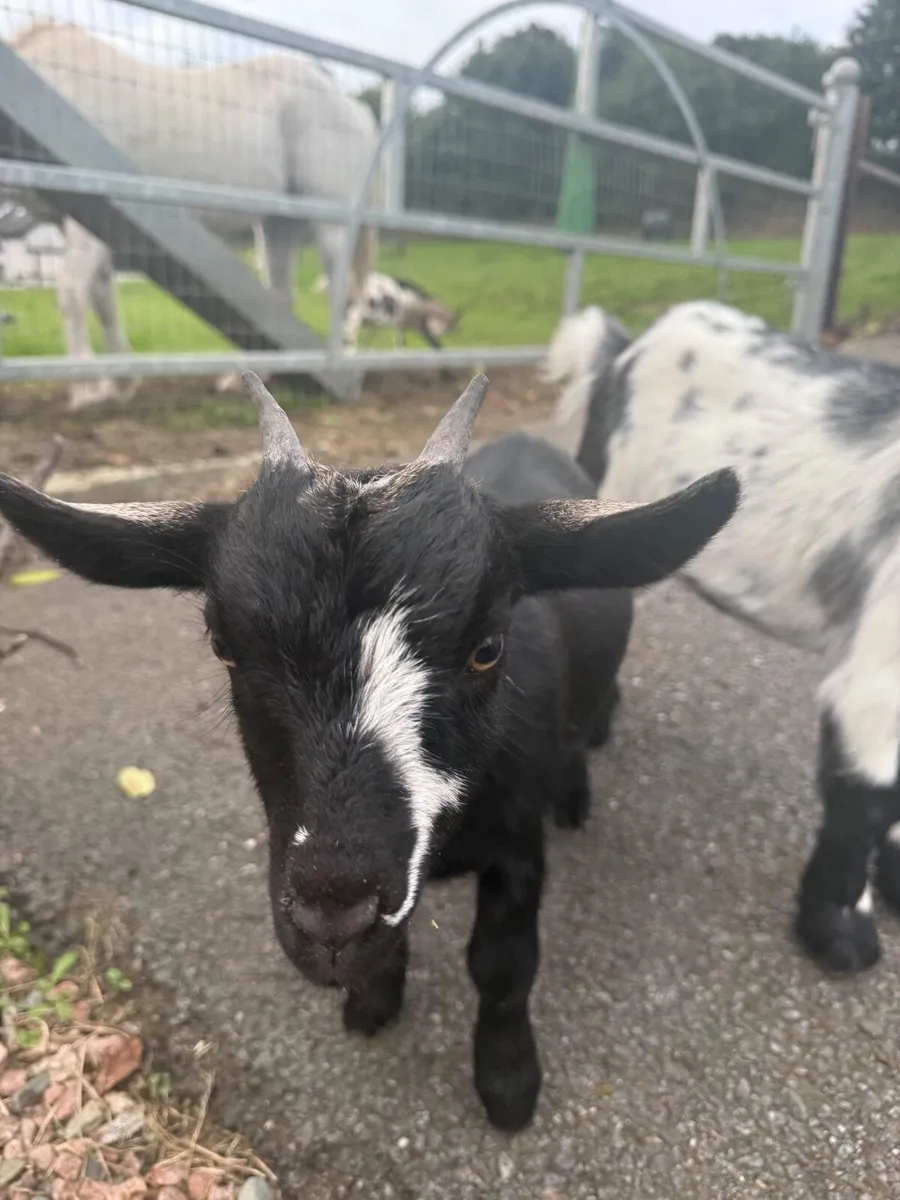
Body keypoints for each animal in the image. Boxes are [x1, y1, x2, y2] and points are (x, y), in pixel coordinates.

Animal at [0, 373, 738, 1130]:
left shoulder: (518, 847)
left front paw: (508, 1082)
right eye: (223, 646)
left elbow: (503, 964)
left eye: (487, 648)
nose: (332, 919)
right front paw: (374, 1001)